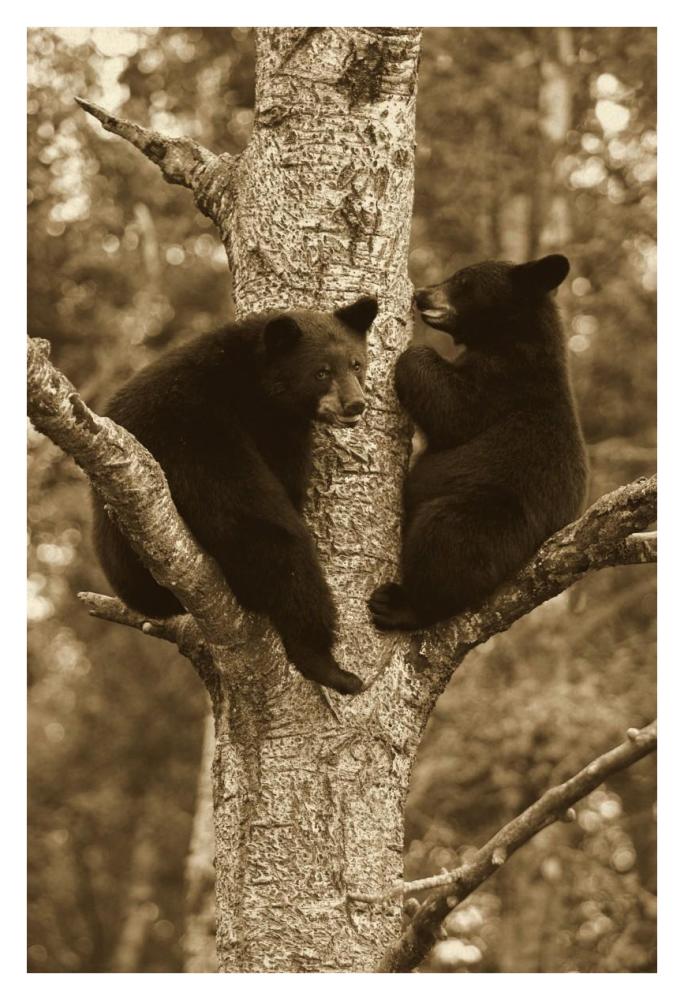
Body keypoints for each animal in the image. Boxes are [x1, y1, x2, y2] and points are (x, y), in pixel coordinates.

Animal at [93, 296, 378, 694]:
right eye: (321, 372)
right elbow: (250, 510)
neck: (254, 389)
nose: (355, 404)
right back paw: (327, 665)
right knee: (280, 548)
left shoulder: (281, 434)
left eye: (356, 364)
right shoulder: (199, 428)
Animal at [368, 254, 587, 631]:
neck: (511, 337)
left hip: (495, 517)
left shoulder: (504, 381)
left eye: (463, 282)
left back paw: (401, 605)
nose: (422, 295)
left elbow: (453, 409)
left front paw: (410, 351)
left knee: (446, 540)